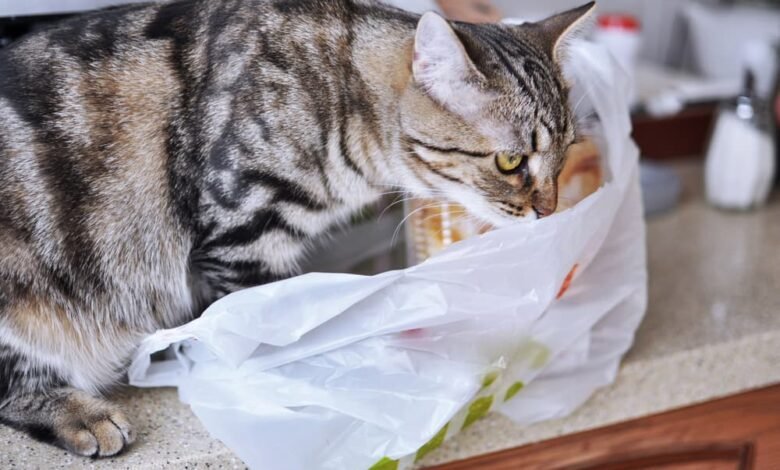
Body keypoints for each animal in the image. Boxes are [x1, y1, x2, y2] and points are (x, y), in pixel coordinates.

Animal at [0, 0, 592, 458]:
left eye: (564, 155)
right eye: (510, 161)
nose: (549, 211)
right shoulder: (240, 236)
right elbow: (273, 329)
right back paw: (83, 415)